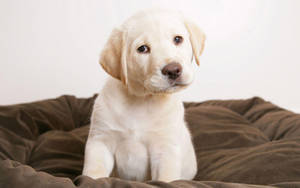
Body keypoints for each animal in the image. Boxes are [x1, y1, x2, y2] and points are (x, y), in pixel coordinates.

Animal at [82, 9, 205, 182]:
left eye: (177, 39)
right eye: (143, 49)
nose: (173, 70)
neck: (142, 99)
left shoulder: (165, 148)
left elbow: (165, 179)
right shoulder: (101, 141)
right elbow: (94, 172)